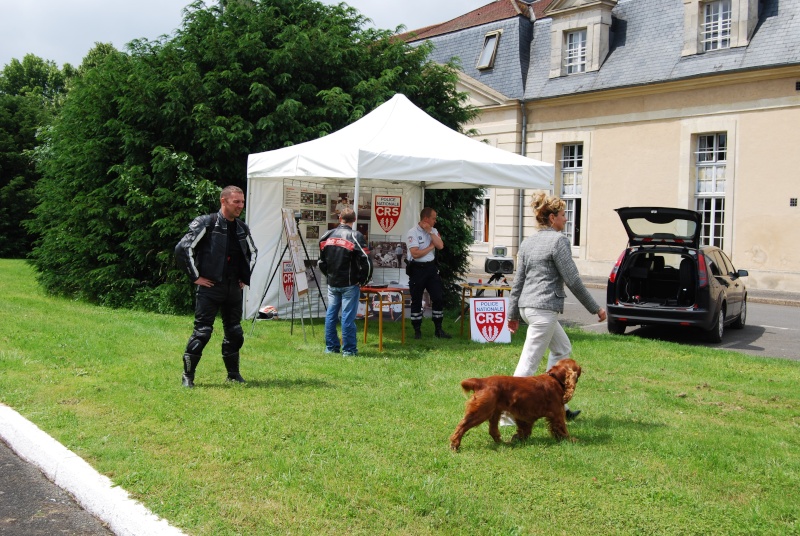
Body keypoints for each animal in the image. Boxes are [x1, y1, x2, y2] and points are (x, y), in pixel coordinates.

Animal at [450, 358, 580, 450]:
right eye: (579, 369)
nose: (582, 370)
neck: (554, 378)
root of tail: (482, 382)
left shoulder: (525, 415)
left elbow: (524, 429)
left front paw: (517, 439)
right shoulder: (557, 413)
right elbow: (562, 428)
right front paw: (571, 440)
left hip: (495, 412)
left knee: (492, 430)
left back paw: (503, 443)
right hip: (482, 411)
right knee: (462, 425)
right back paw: (454, 445)